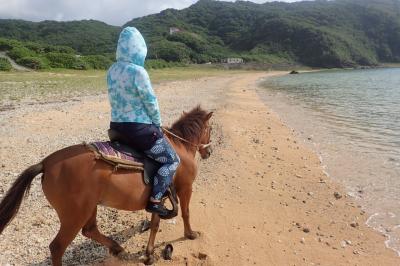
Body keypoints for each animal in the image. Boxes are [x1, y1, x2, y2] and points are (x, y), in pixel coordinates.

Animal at [0, 106, 212, 266]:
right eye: (210, 129)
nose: (208, 151)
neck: (180, 147)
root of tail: (46, 163)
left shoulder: (158, 198)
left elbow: (154, 224)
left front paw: (149, 254)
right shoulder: (185, 188)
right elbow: (185, 212)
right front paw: (190, 234)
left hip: (88, 207)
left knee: (89, 230)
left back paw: (116, 247)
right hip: (75, 215)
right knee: (57, 247)